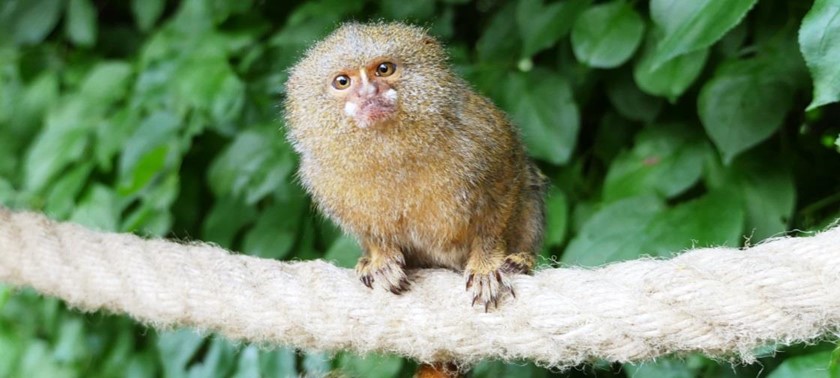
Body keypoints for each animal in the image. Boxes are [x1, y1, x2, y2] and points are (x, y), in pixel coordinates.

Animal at [286, 22, 548, 310]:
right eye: (342, 82)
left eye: (384, 69)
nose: (368, 93)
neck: (391, 149)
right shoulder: (322, 178)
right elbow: (369, 230)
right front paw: (381, 260)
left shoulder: (485, 135)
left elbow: (503, 194)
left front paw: (486, 266)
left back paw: (521, 260)